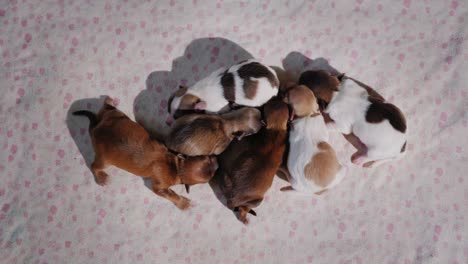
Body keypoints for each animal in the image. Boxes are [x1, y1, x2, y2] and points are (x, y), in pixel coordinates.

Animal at [73, 98, 219, 209]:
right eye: (211, 176)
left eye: (208, 159)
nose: (217, 161)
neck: (177, 166)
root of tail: (96, 129)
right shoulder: (159, 187)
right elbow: (171, 194)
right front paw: (183, 203)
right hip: (105, 159)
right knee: (94, 166)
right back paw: (101, 177)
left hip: (116, 116)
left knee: (105, 110)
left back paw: (109, 102)